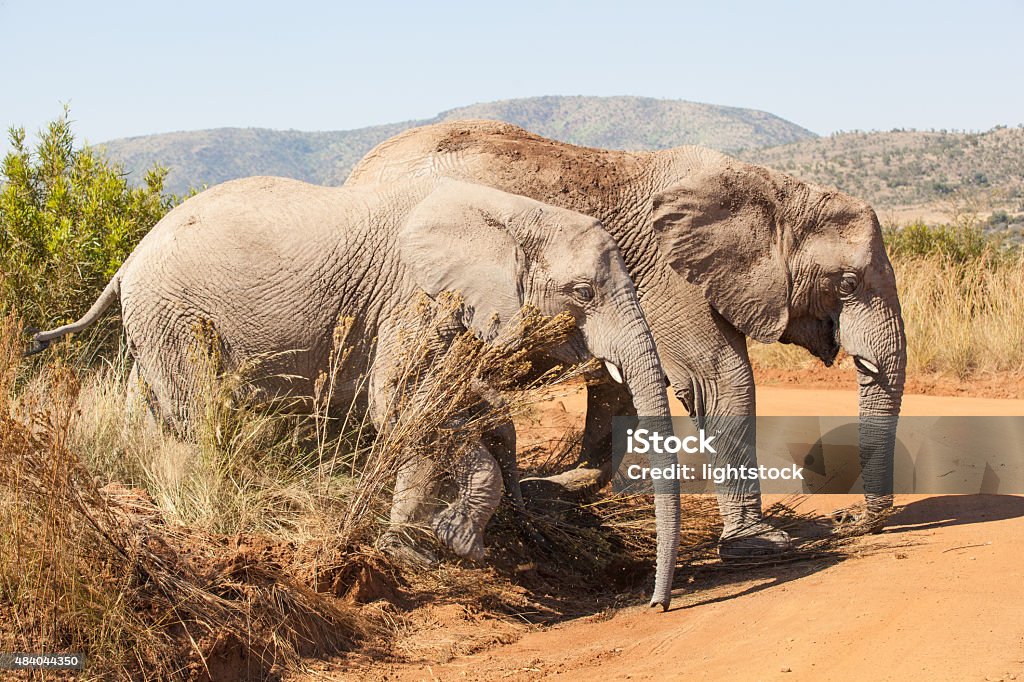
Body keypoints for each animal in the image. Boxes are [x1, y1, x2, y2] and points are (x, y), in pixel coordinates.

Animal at [28, 174, 684, 606]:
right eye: (582, 293)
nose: (657, 605)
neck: (513, 213)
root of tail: (129, 258)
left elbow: (445, 407)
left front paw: (416, 544)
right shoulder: (410, 300)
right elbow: (402, 406)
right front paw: (442, 546)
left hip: (154, 325)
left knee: (157, 409)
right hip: (173, 316)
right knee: (193, 415)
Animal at [348, 119, 909, 557]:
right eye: (847, 284)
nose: (845, 521)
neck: (774, 187)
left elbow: (619, 388)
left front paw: (556, 489)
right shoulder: (670, 276)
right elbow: (721, 380)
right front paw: (760, 542)